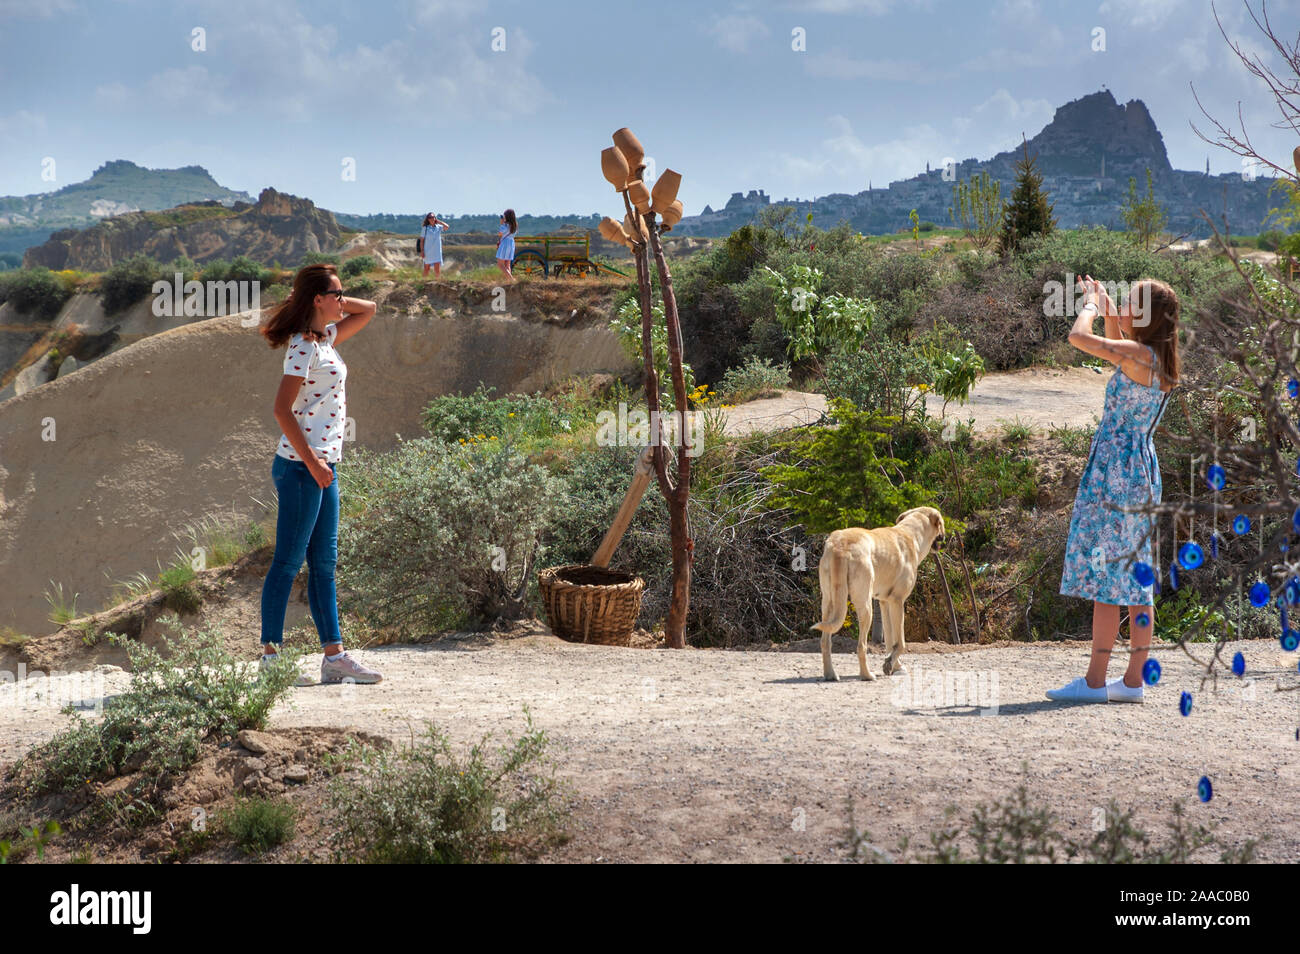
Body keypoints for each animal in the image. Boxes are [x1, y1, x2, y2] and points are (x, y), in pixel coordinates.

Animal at [811, 509, 946, 681]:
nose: (944, 538)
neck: (911, 533)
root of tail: (841, 546)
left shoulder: (885, 603)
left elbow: (889, 639)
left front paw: (894, 666)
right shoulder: (897, 601)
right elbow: (900, 643)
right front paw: (890, 665)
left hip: (828, 604)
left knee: (825, 641)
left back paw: (830, 674)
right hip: (865, 606)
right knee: (861, 646)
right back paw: (867, 675)